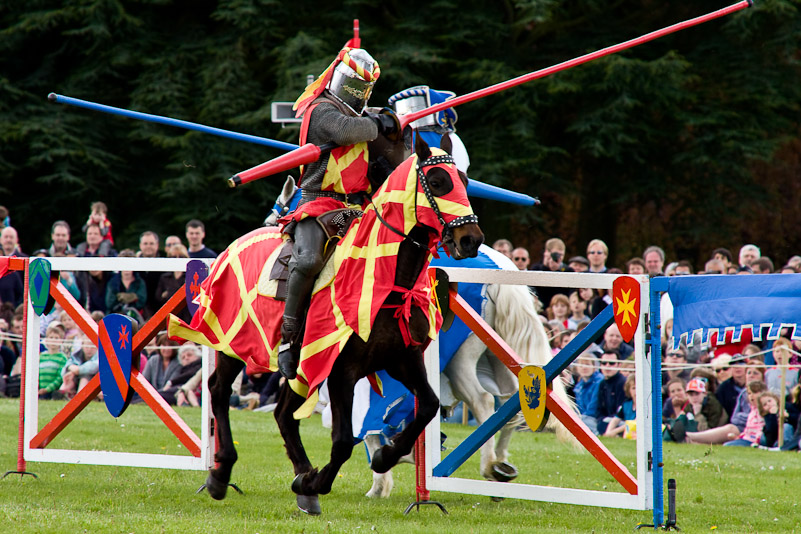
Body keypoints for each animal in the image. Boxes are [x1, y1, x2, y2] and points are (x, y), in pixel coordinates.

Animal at [170, 136, 482, 516]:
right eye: (437, 182)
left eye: (464, 182)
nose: (470, 239)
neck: (386, 280)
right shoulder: (340, 370)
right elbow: (344, 440)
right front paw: (319, 481)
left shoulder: (404, 360)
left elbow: (428, 406)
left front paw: (383, 456)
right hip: (234, 345)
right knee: (218, 390)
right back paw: (223, 474)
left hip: (294, 367)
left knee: (283, 414)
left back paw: (302, 480)